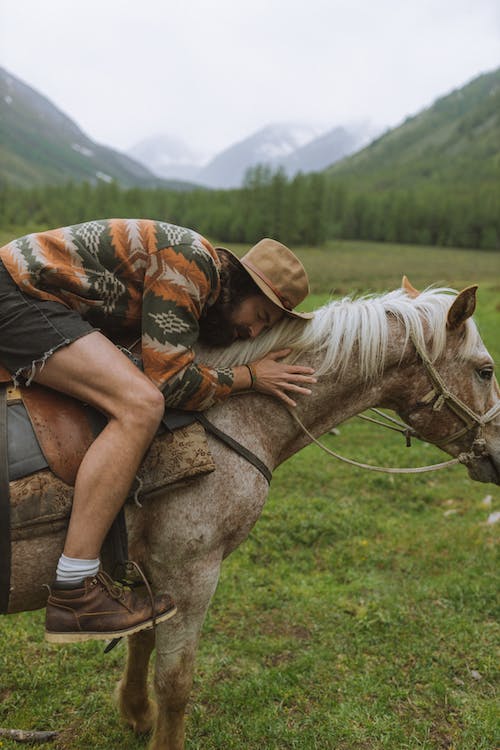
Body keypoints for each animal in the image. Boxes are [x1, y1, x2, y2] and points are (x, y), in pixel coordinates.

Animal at [4, 280, 500, 748]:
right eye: (486, 370)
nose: (497, 452)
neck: (228, 417)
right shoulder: (191, 569)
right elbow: (175, 682)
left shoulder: (154, 569)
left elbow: (142, 636)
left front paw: (136, 713)